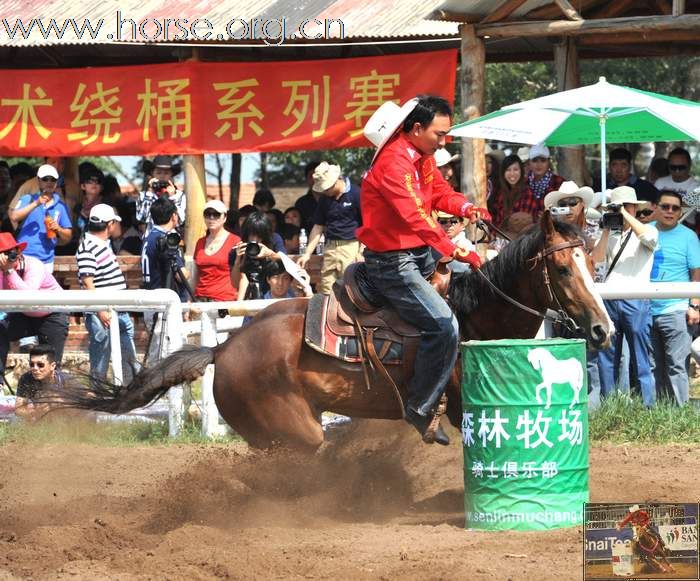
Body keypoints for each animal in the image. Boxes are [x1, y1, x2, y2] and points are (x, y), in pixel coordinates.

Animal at [49, 212, 608, 448]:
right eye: (563, 269)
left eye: (590, 260)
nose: (602, 330)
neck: (471, 314)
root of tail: (224, 350)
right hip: (295, 430)